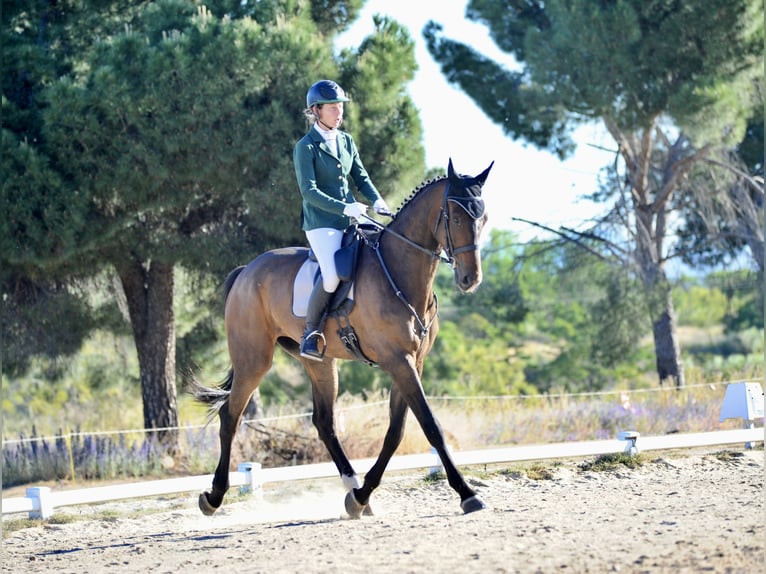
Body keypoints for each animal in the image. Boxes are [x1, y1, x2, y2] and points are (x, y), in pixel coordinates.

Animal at [195, 160, 496, 520]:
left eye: (483, 218)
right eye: (455, 217)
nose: (470, 279)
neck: (400, 272)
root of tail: (246, 270)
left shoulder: (412, 362)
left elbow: (395, 432)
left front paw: (362, 496)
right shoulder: (398, 361)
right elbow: (430, 425)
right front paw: (467, 493)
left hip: (320, 362)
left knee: (324, 422)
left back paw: (353, 488)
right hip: (253, 361)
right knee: (231, 416)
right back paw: (213, 496)